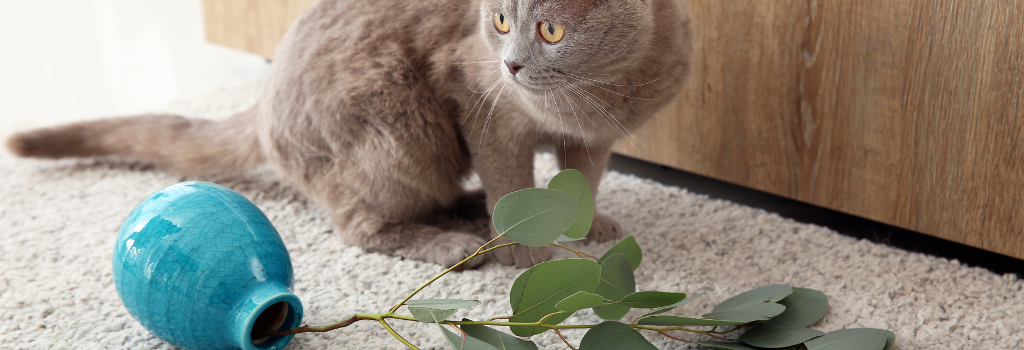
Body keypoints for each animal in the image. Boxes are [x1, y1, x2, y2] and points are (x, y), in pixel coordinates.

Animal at [6, 0, 688, 268]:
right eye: (498, 21)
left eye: (550, 29)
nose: (513, 64)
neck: (594, 96)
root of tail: (264, 101)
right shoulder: (482, 105)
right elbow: (509, 178)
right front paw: (525, 246)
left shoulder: (596, 137)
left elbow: (583, 179)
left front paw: (585, 223)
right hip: (401, 132)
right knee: (359, 223)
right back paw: (454, 242)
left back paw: (466, 212)